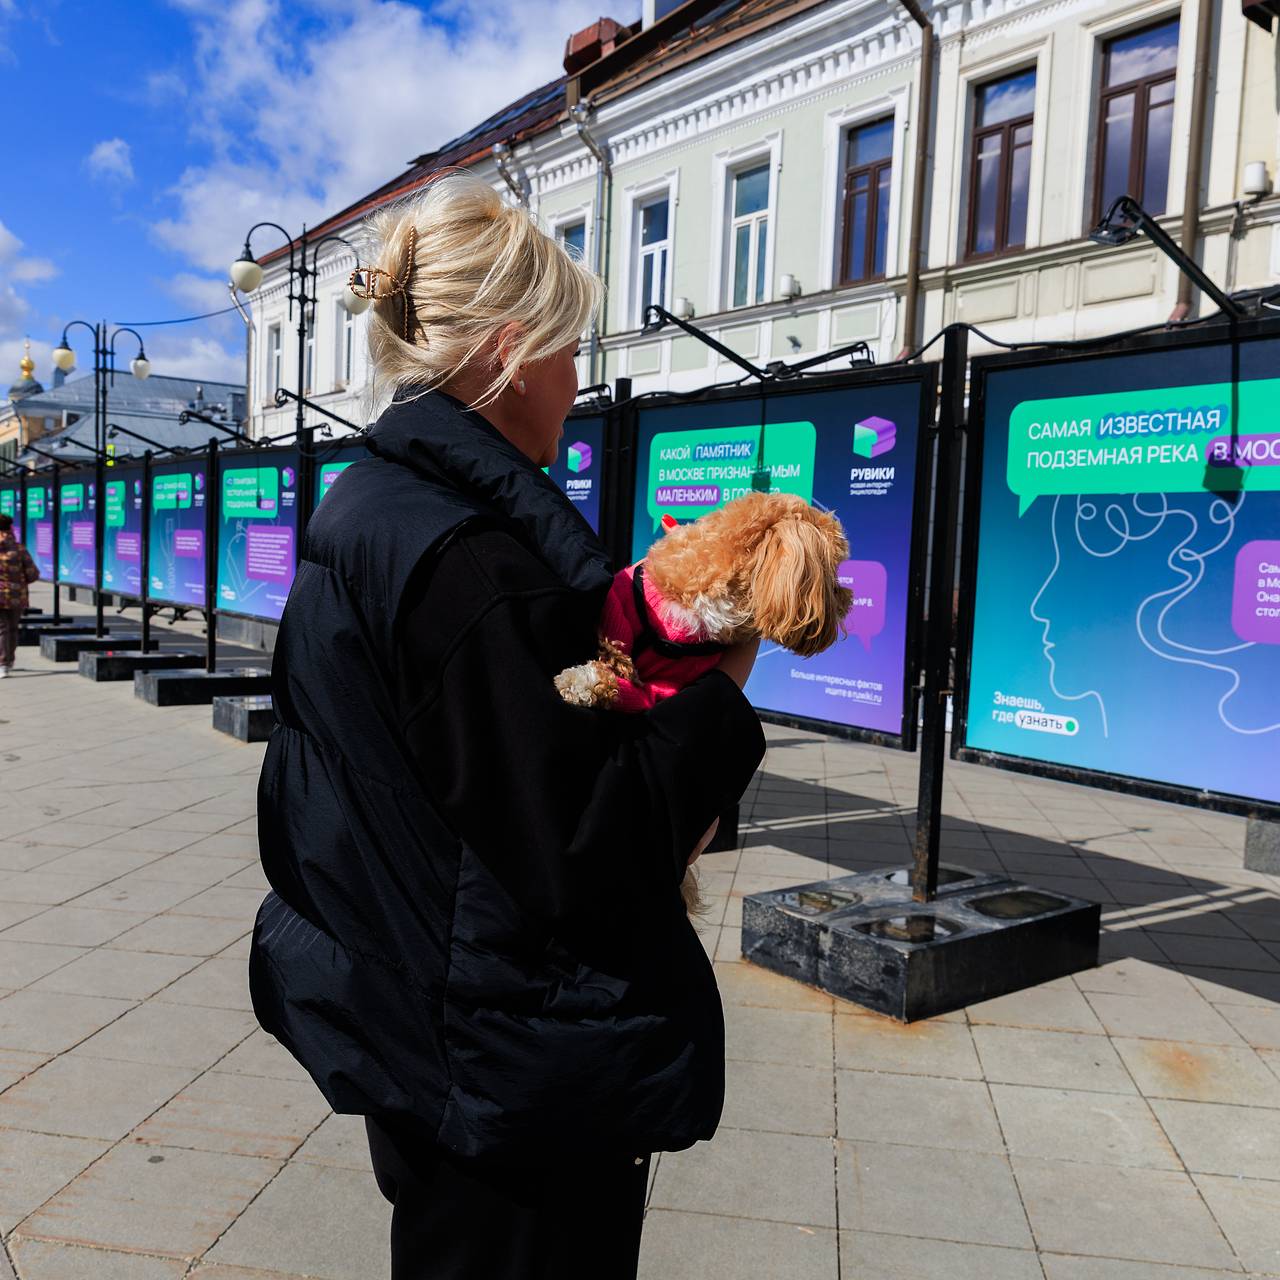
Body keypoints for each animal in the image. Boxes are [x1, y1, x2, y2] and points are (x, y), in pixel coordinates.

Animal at [558, 486, 849, 911]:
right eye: (834, 569)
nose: (847, 600)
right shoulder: (617, 622)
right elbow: (613, 657)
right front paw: (583, 679)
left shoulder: (664, 690)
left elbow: (634, 695)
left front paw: (591, 682)